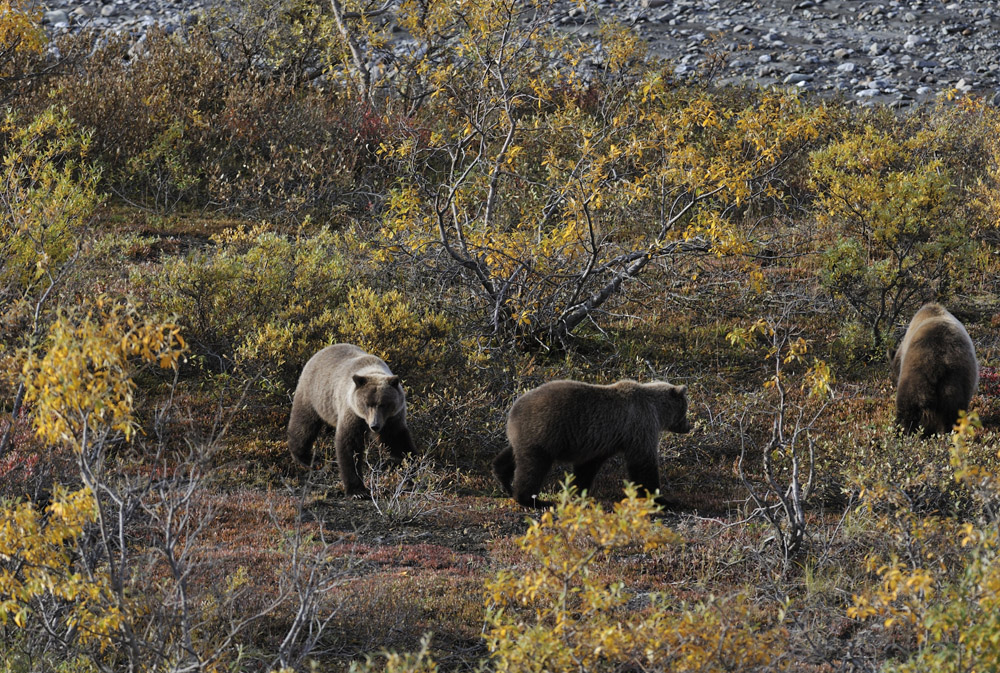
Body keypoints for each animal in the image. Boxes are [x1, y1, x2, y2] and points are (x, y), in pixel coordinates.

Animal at [288, 344, 416, 496]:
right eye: (367, 404)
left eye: (383, 404)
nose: (374, 426)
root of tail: (319, 352)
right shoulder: (352, 413)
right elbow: (349, 445)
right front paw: (357, 490)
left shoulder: (392, 418)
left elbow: (398, 441)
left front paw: (411, 476)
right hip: (313, 395)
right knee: (304, 425)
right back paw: (306, 458)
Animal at [490, 380, 688, 506]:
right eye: (685, 409)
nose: (688, 426)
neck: (657, 410)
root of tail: (513, 409)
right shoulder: (639, 427)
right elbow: (643, 465)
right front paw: (663, 499)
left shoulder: (601, 443)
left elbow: (587, 467)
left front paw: (578, 491)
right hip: (544, 432)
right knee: (533, 467)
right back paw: (531, 500)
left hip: (525, 435)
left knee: (511, 454)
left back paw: (504, 480)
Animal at [892, 304, 976, 436]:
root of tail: (937, 363)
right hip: (956, 381)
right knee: (952, 413)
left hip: (915, 376)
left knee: (906, 409)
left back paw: (901, 431)